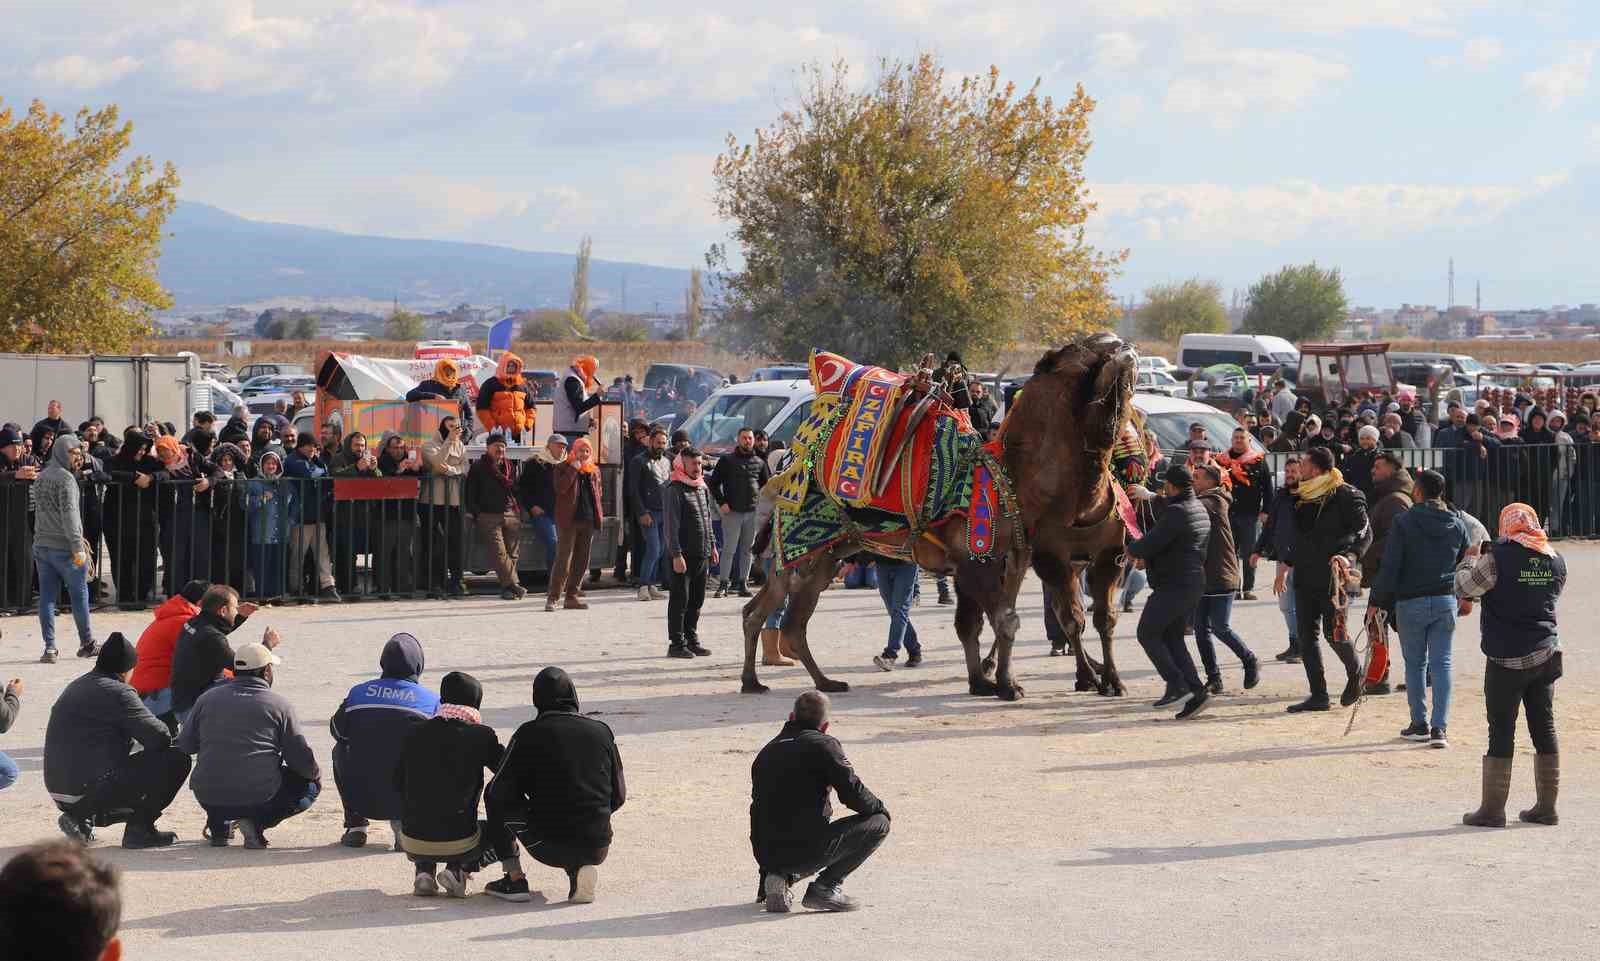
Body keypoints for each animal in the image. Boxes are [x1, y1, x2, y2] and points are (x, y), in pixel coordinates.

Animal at [739, 334, 1139, 700]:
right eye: (1087, 349)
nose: (1126, 346)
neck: (1011, 478)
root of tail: (788, 464)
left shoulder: (1005, 559)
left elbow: (974, 624)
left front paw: (983, 682)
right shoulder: (977, 560)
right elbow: (1005, 621)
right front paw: (1008, 686)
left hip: (826, 557)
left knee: (780, 619)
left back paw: (812, 682)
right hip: (800, 549)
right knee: (772, 614)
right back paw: (764, 681)